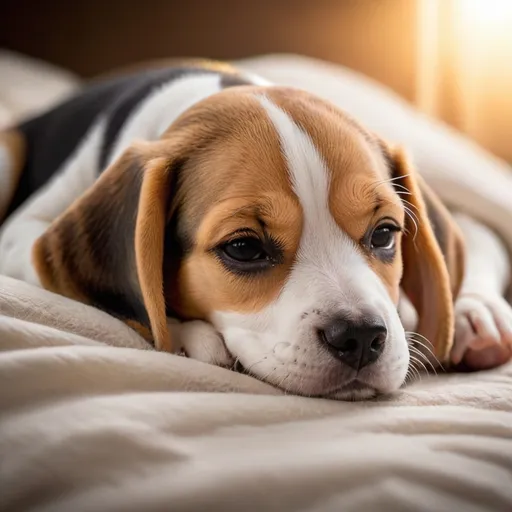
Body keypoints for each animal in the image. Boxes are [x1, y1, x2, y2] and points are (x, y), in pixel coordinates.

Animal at [1, 59, 512, 396]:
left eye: (385, 234)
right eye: (244, 248)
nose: (363, 337)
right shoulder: (21, 237)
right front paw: (189, 334)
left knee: (481, 229)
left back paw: (477, 313)